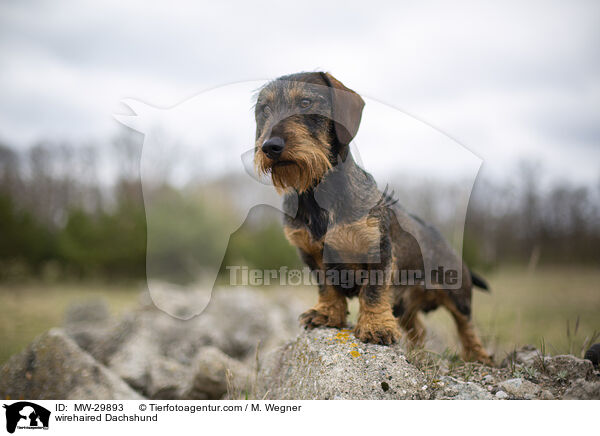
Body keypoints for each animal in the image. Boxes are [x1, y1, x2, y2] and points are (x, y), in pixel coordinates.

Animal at [253, 72, 492, 364]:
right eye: (265, 109)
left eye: (306, 102)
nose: (270, 147)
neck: (317, 193)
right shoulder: (311, 254)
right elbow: (326, 286)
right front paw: (326, 314)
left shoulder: (377, 250)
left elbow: (374, 291)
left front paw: (375, 327)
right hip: (405, 305)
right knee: (419, 329)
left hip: (458, 295)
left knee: (466, 327)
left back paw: (478, 355)